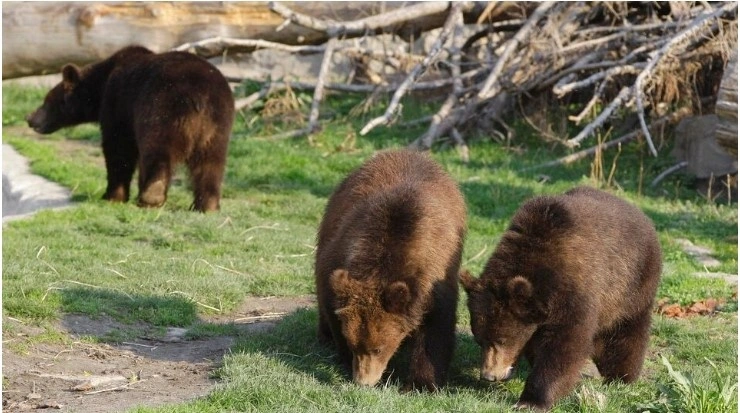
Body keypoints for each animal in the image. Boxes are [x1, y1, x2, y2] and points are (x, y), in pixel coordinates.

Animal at [26, 45, 234, 211]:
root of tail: (201, 98)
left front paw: (112, 196)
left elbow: (118, 148)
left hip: (165, 110)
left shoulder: (119, 103)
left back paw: (151, 197)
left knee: (159, 151)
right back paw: (207, 205)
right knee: (212, 163)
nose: (30, 119)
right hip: (218, 126)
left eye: (47, 101)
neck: (101, 84)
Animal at [314, 148, 466, 390]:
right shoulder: (338, 256)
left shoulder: (436, 277)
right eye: (354, 344)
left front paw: (421, 383)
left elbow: (435, 329)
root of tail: (407, 150)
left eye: (378, 348)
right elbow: (331, 301)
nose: (363, 382)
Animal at [460, 186, 660, 408]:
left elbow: (563, 347)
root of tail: (642, 215)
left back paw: (621, 376)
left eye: (502, 340)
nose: (489, 376)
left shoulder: (574, 292)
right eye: (480, 339)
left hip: (631, 284)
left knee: (624, 333)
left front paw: (532, 400)